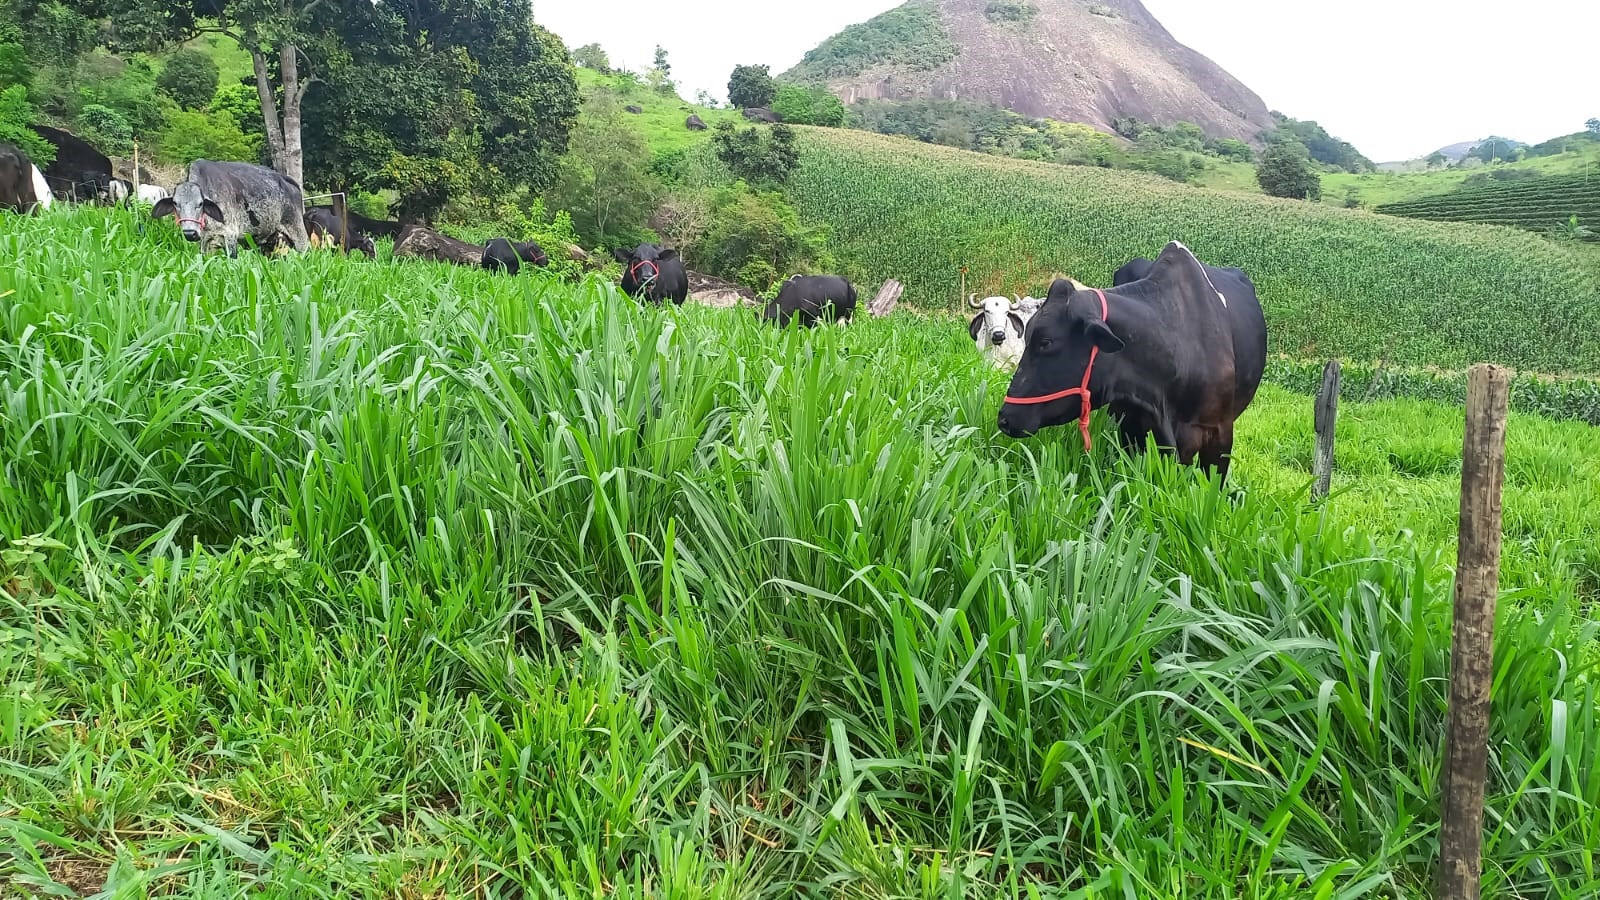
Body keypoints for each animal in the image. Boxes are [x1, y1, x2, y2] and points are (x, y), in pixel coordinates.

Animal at [150, 159, 310, 257]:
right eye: (175, 203)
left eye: (200, 203)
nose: (190, 232)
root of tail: (288, 181)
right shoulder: (205, 242)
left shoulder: (231, 236)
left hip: (299, 235)